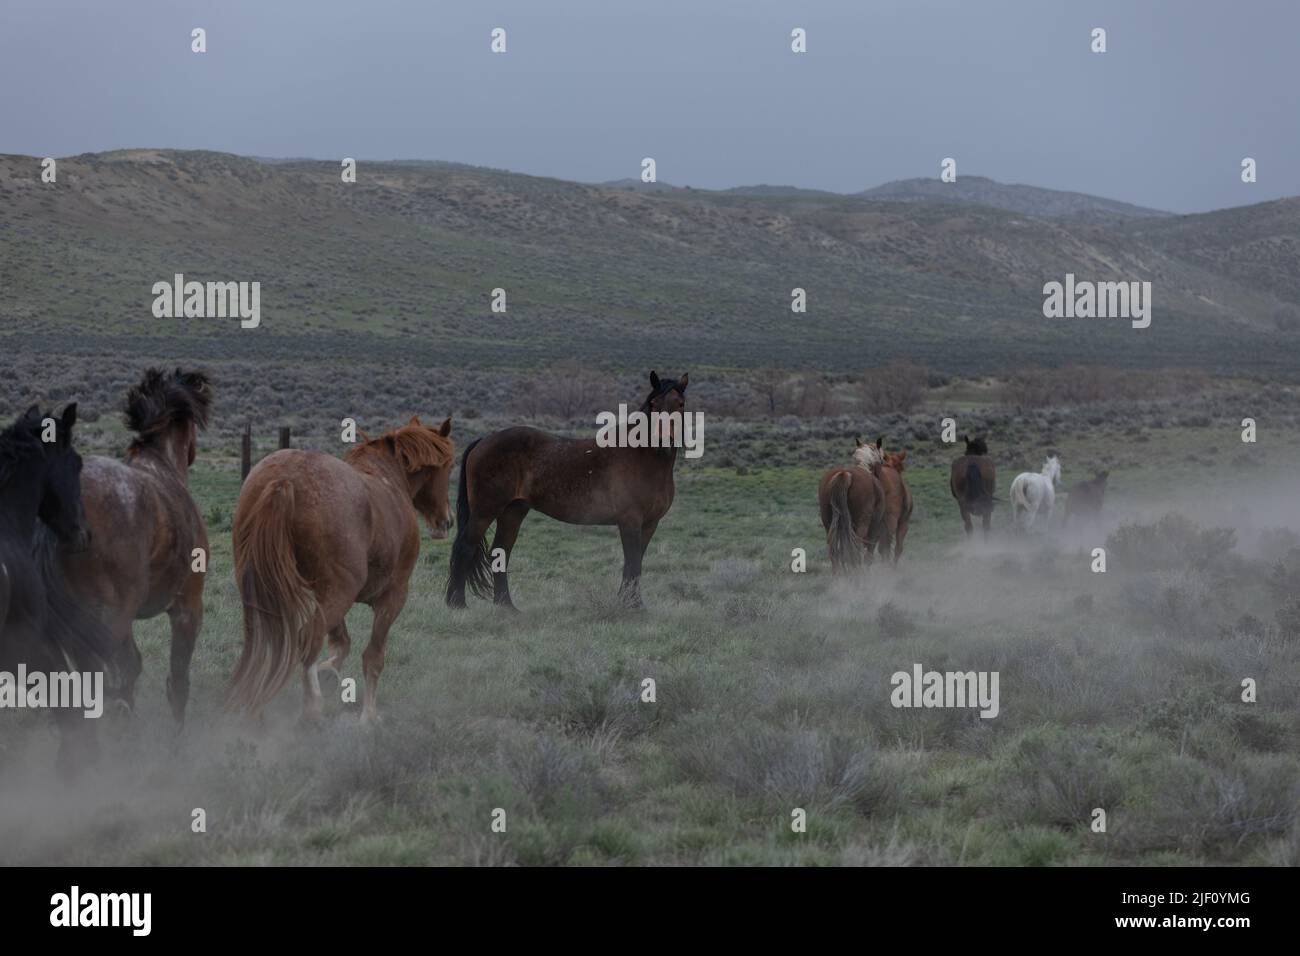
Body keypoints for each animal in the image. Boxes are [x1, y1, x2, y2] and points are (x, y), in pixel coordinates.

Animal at [226, 416, 454, 723]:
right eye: (449, 466)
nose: (446, 521)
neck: (388, 479)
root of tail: (285, 481)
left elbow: (341, 642)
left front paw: (329, 674)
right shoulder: (392, 597)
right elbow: (373, 657)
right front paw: (369, 716)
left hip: (264, 590)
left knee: (267, 641)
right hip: (339, 592)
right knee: (308, 639)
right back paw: (311, 708)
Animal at [446, 371, 687, 611]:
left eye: (680, 404)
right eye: (654, 404)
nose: (665, 441)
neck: (643, 460)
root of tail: (483, 441)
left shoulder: (649, 524)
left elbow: (635, 563)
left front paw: (631, 602)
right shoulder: (630, 522)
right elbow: (633, 562)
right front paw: (631, 604)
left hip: (513, 511)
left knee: (500, 552)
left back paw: (506, 605)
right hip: (485, 510)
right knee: (465, 547)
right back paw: (457, 603)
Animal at [819, 438, 886, 573]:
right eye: (882, 458)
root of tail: (844, 474)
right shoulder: (874, 528)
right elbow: (868, 556)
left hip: (828, 523)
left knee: (835, 553)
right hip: (862, 525)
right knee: (856, 551)